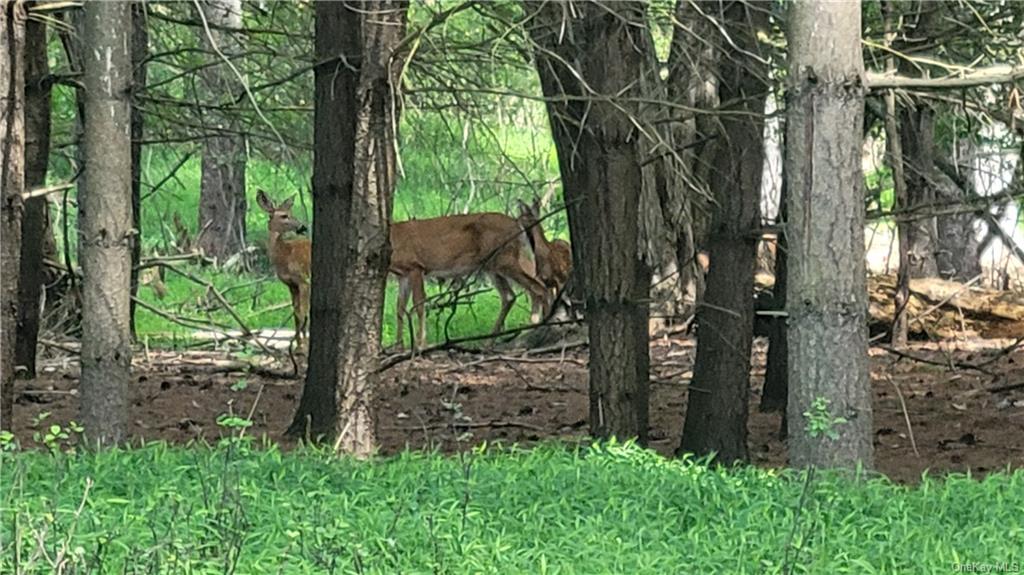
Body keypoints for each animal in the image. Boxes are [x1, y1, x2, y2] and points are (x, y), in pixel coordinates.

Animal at [254, 190, 309, 347]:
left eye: (291, 213)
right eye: (284, 215)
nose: (303, 227)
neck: (285, 256)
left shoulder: (303, 280)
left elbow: (303, 312)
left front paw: (303, 344)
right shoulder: (291, 285)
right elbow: (296, 314)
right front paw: (298, 343)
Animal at [387, 211, 552, 349]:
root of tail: (517, 224)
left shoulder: (416, 267)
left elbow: (419, 304)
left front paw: (420, 345)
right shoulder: (403, 275)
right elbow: (400, 308)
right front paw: (398, 347)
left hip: (506, 259)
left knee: (539, 288)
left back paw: (546, 327)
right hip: (493, 266)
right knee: (511, 296)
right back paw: (490, 341)